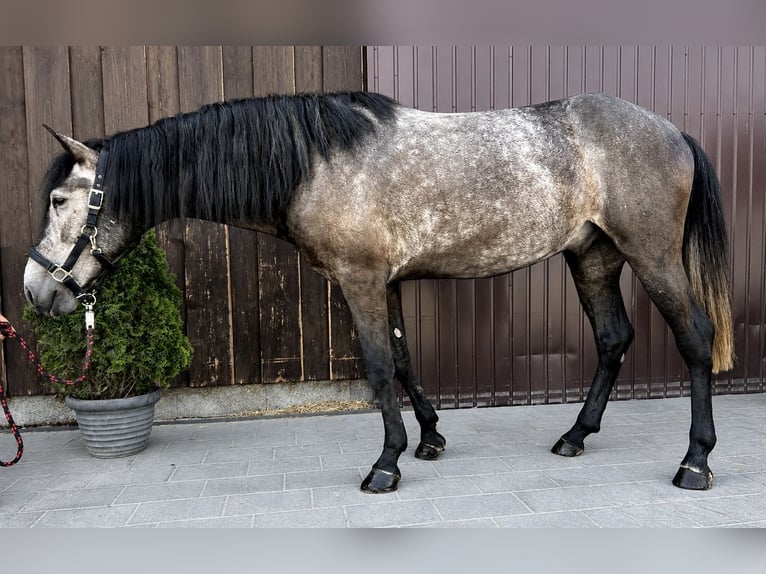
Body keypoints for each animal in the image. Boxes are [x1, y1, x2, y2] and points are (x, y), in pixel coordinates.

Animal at [23, 91, 733, 493]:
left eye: (58, 199)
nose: (34, 291)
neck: (313, 161)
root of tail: (672, 131)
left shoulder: (360, 279)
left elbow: (379, 366)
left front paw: (387, 465)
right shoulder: (386, 282)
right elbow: (405, 360)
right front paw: (430, 438)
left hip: (651, 257)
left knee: (695, 339)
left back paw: (695, 462)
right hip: (592, 258)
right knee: (613, 340)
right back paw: (575, 436)